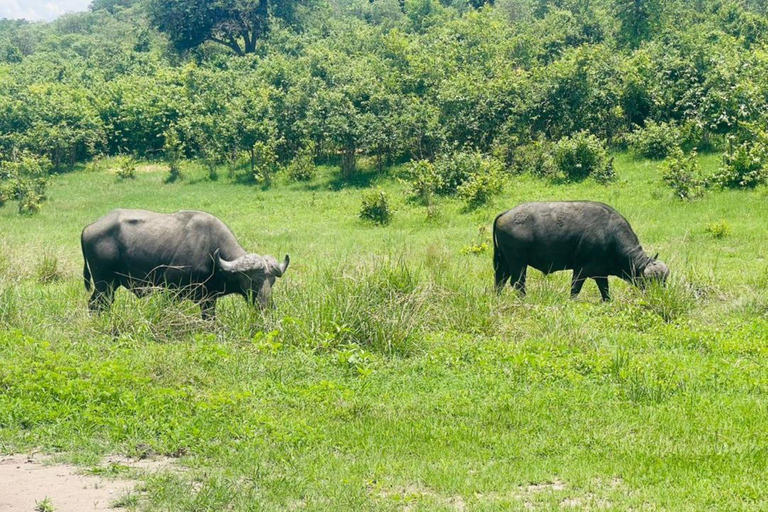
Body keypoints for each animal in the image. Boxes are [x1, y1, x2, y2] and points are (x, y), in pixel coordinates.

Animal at [81, 210, 290, 318]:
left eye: (271, 282)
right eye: (253, 281)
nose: (267, 307)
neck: (211, 254)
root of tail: (89, 227)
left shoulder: (208, 300)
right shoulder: (170, 290)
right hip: (104, 284)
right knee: (96, 305)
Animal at [496, 201, 668, 300]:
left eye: (664, 282)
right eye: (651, 281)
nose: (660, 296)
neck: (609, 234)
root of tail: (505, 214)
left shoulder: (601, 274)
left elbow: (606, 293)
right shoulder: (580, 271)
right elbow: (574, 290)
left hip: (503, 262)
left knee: (500, 280)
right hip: (518, 263)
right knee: (517, 283)